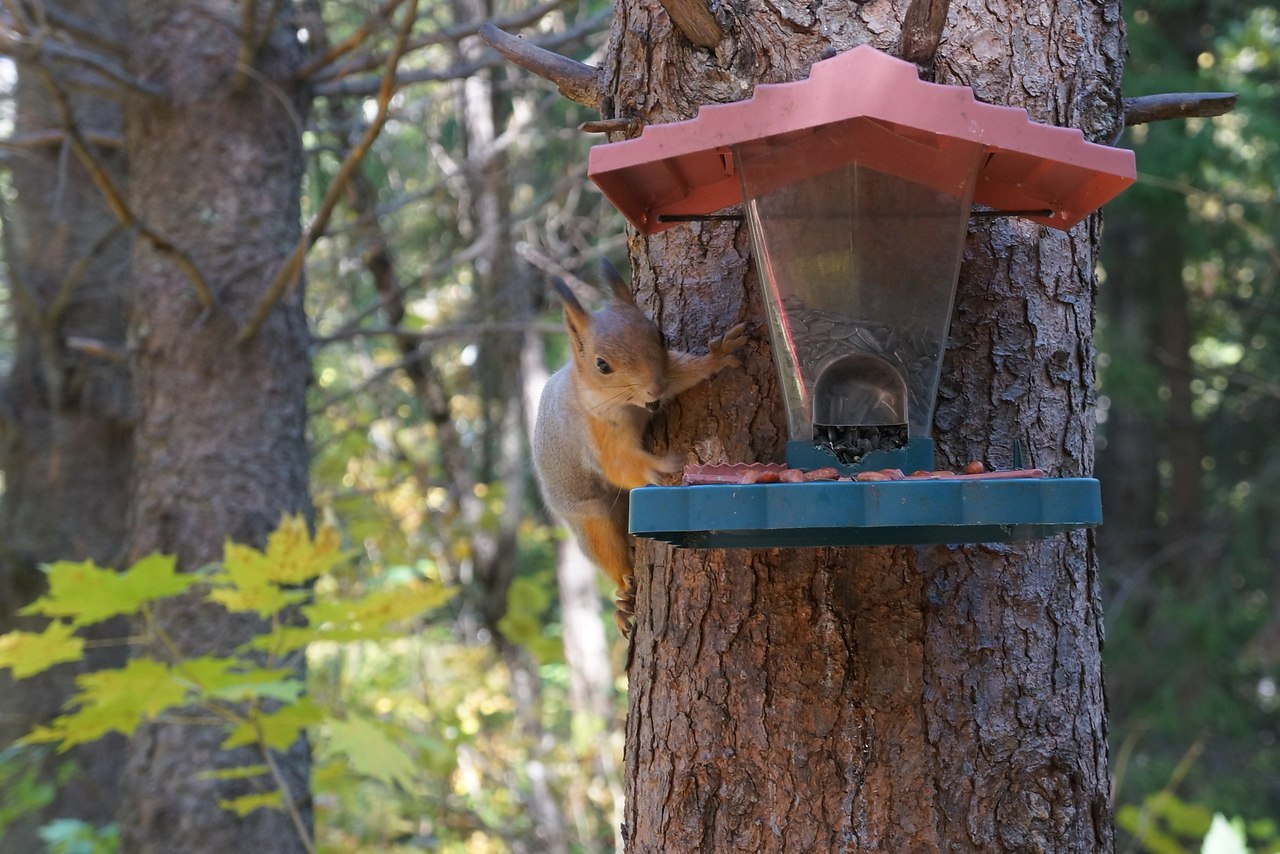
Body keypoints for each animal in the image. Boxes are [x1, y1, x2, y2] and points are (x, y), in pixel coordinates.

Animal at [532, 263, 747, 637]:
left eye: (659, 335)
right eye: (602, 365)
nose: (654, 387)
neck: (628, 406)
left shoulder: (667, 375)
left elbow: (683, 374)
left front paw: (716, 357)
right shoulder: (595, 434)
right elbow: (620, 466)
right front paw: (662, 466)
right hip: (590, 518)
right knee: (610, 554)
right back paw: (625, 597)